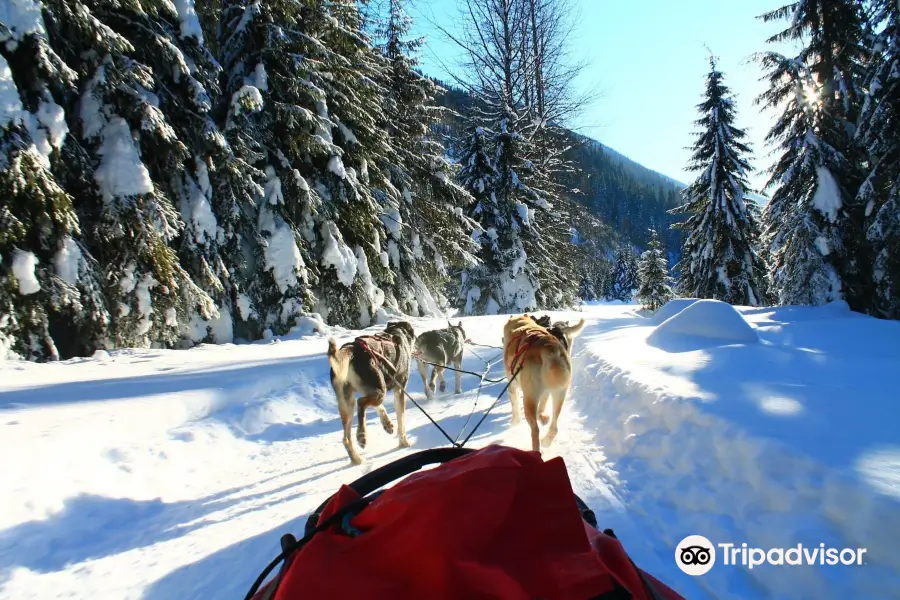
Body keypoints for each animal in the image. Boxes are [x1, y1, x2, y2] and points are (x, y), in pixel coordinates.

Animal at [326, 324, 418, 464]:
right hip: (379, 391)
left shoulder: (371, 390)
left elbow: (380, 408)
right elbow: (401, 421)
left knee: (346, 438)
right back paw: (362, 436)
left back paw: (356, 459)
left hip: (349, 403)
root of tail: (352, 349)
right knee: (361, 403)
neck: (397, 333)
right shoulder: (399, 389)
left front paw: (387, 424)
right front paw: (404, 442)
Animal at [502, 316, 588, 452]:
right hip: (559, 394)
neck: (522, 324)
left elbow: (514, 405)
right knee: (554, 427)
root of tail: (550, 350)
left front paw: (515, 422)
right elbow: (542, 404)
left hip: (529, 399)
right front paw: (542, 416)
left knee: (535, 430)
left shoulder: (512, 386)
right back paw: (546, 438)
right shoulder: (547, 391)